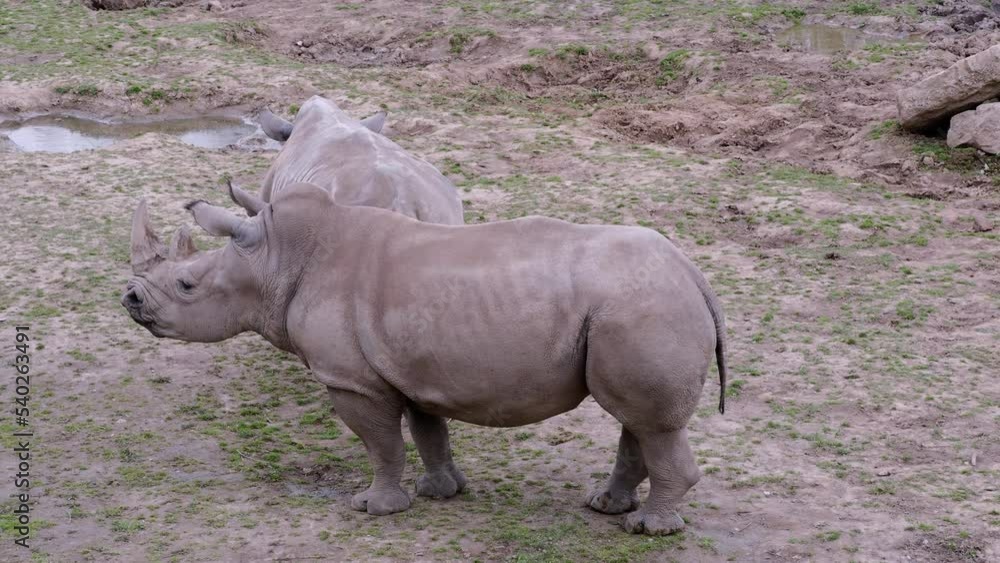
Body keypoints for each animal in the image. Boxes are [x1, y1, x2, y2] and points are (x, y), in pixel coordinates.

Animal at [122, 182, 728, 535]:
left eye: (186, 284)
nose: (129, 298)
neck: (274, 258)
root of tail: (694, 273)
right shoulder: (411, 367)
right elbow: (427, 430)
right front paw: (439, 492)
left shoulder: (352, 380)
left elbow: (381, 443)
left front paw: (375, 509)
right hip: (634, 310)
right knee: (637, 417)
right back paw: (607, 506)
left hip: (640, 308)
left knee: (649, 420)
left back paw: (649, 530)